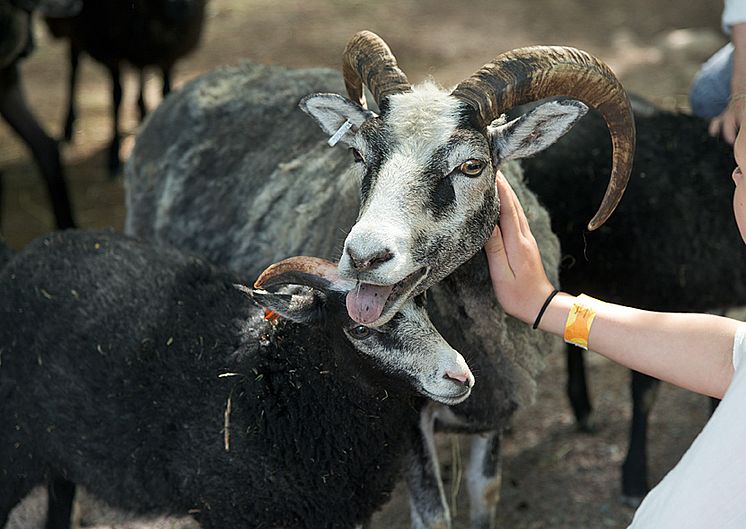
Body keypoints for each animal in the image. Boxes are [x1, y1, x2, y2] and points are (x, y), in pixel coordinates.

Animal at [0, 229, 474, 528]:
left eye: (421, 303)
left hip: (56, 460)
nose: (461, 376)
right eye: (358, 328)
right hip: (15, 454)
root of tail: (20, 258)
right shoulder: (234, 508)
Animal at [123, 31, 632, 524]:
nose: (363, 256)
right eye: (357, 154)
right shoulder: (406, 420)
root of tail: (191, 86)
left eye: (472, 165)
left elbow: (484, 497)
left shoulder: (495, 406)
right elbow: (434, 515)